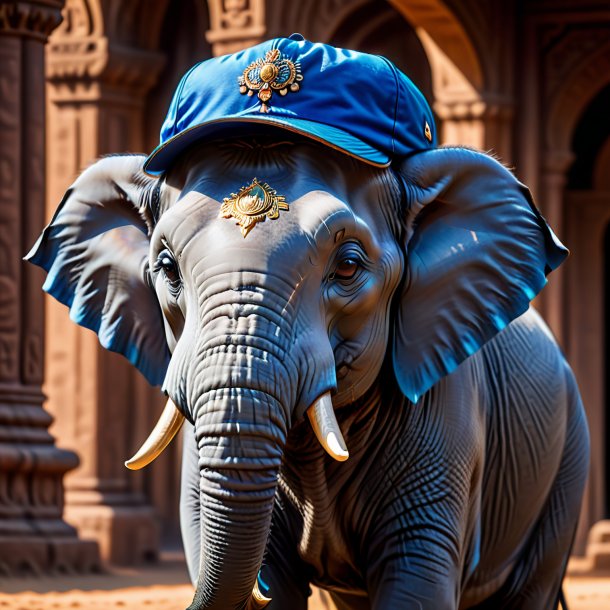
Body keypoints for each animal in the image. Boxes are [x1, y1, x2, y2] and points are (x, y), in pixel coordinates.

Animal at [26, 35, 588, 608]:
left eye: (349, 266)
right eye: (165, 267)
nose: (257, 591)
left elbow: (417, 579)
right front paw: (268, 586)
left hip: (566, 464)